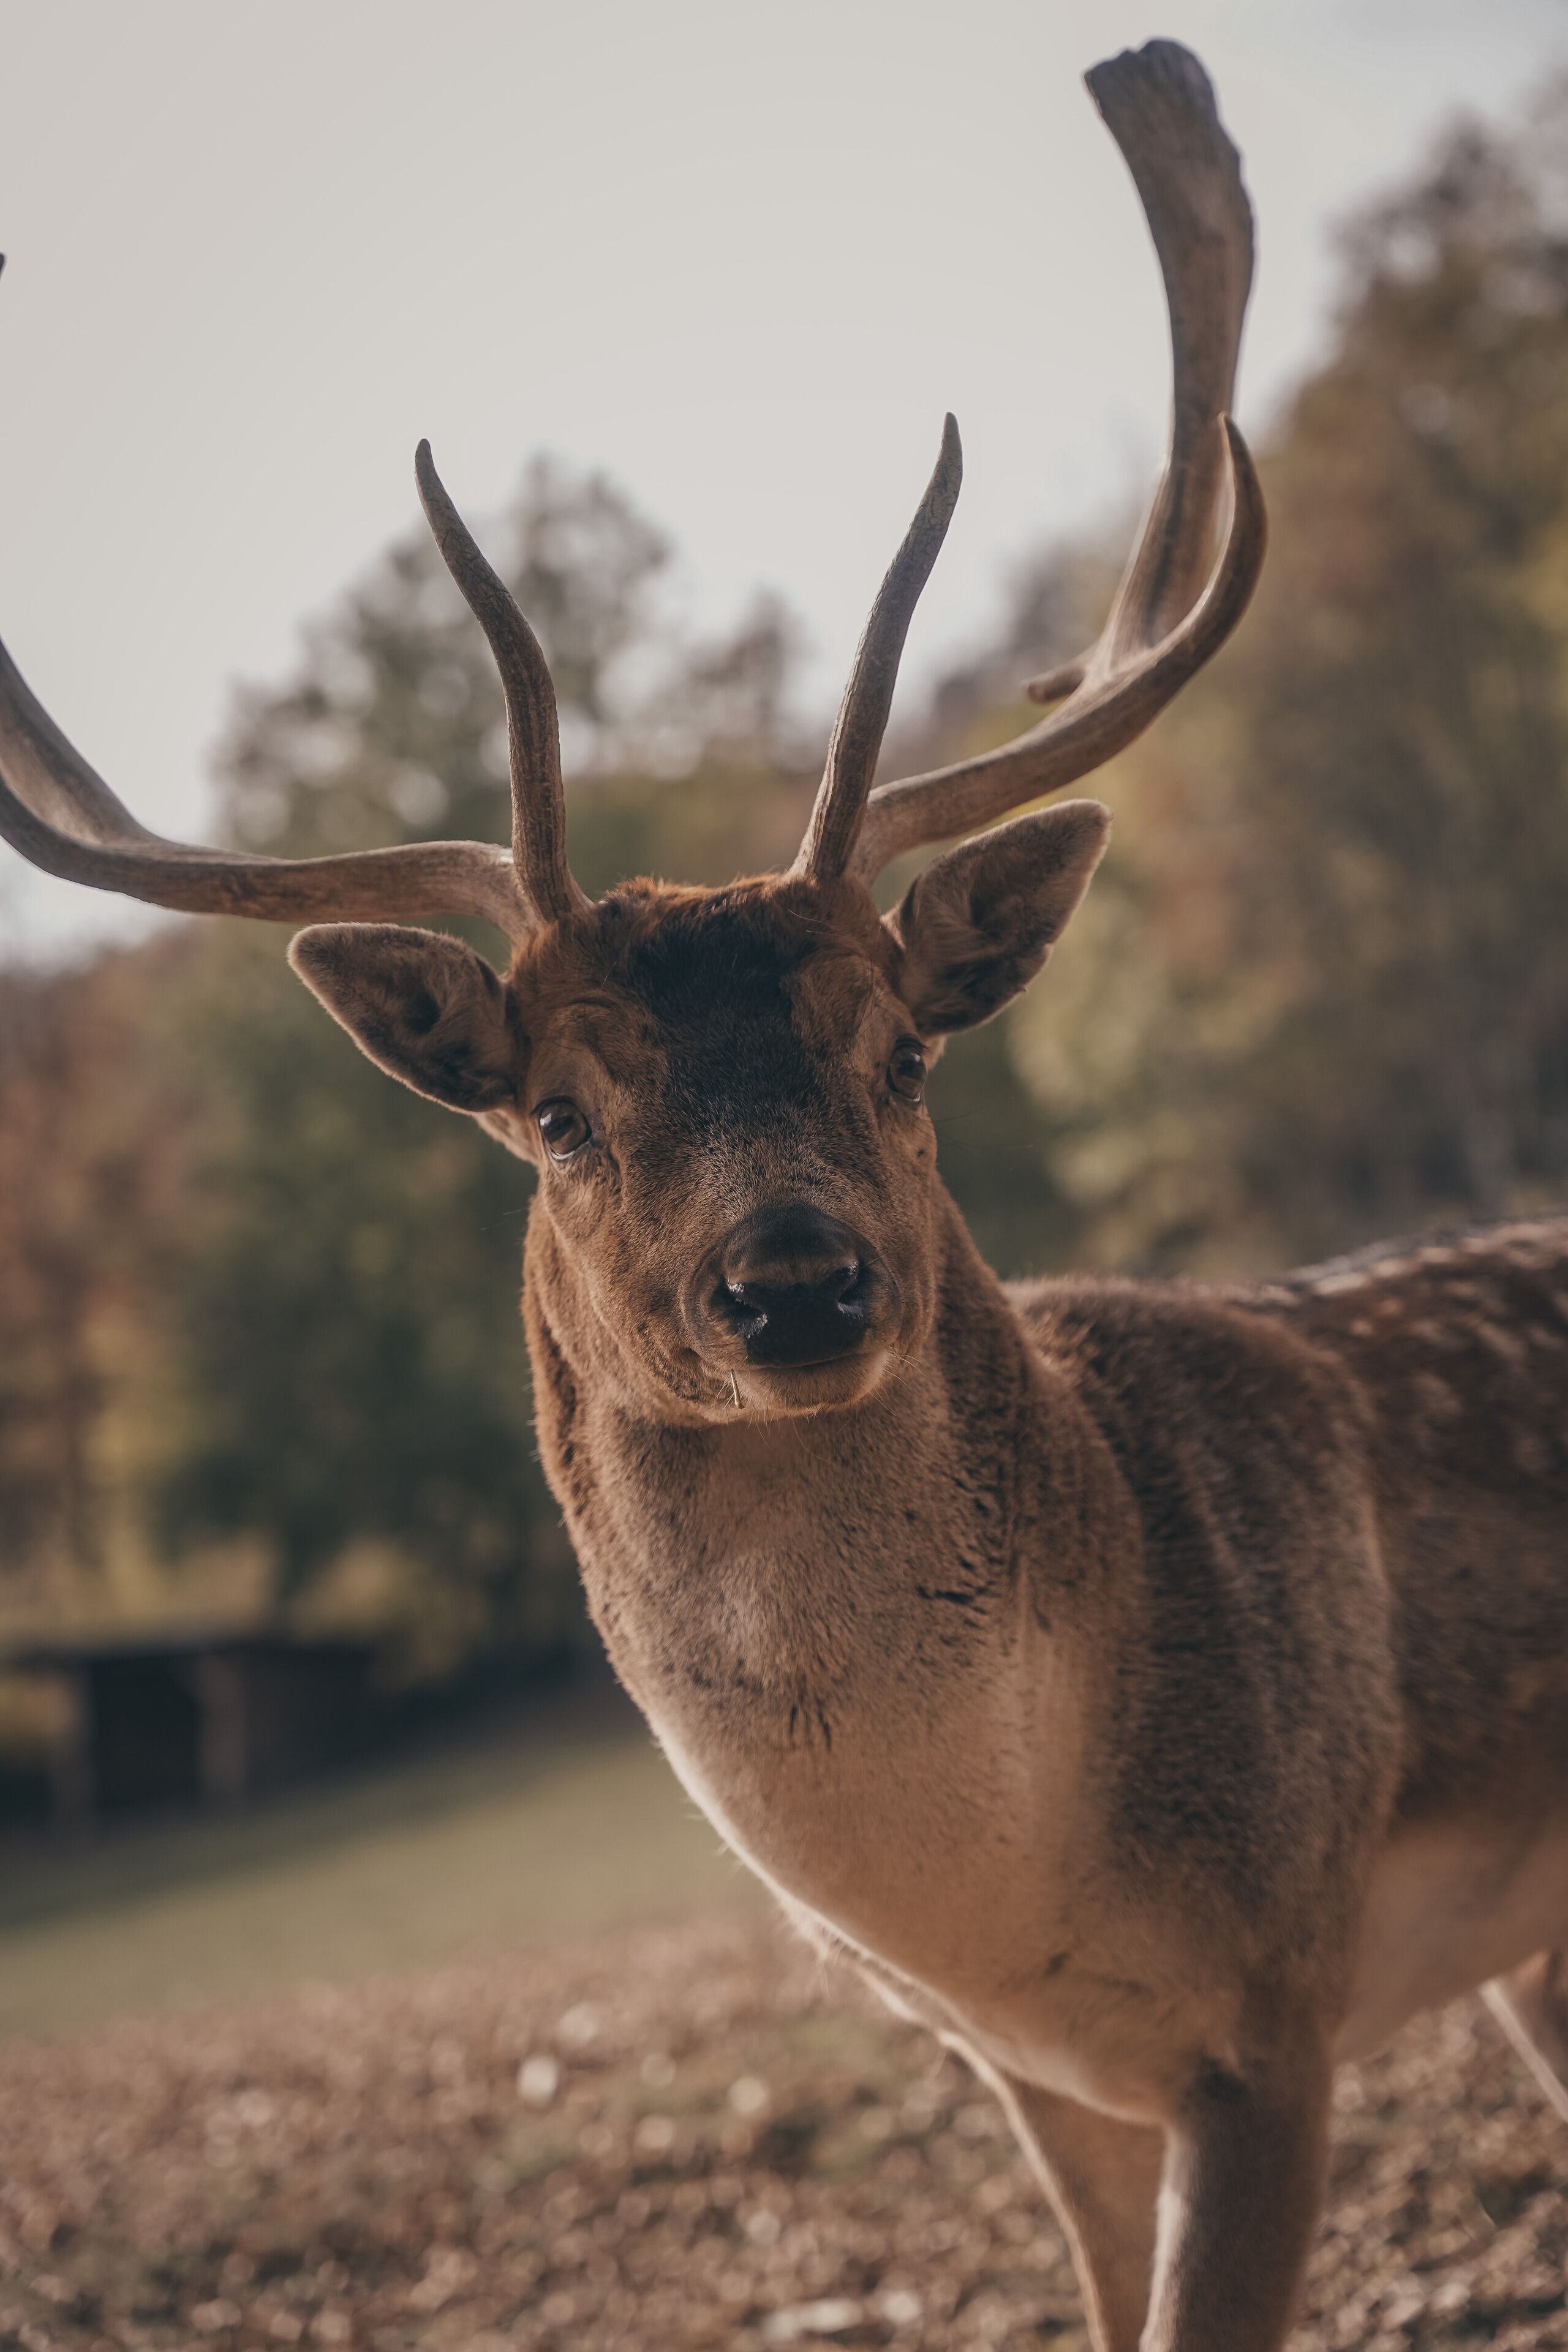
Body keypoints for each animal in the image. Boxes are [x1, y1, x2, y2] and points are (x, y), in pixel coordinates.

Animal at [4, 36, 1567, 2351]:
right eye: (557, 1110)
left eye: (902, 1046)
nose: (800, 1285)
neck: (1019, 1895)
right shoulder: (1044, 2079)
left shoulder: (1281, 1996)